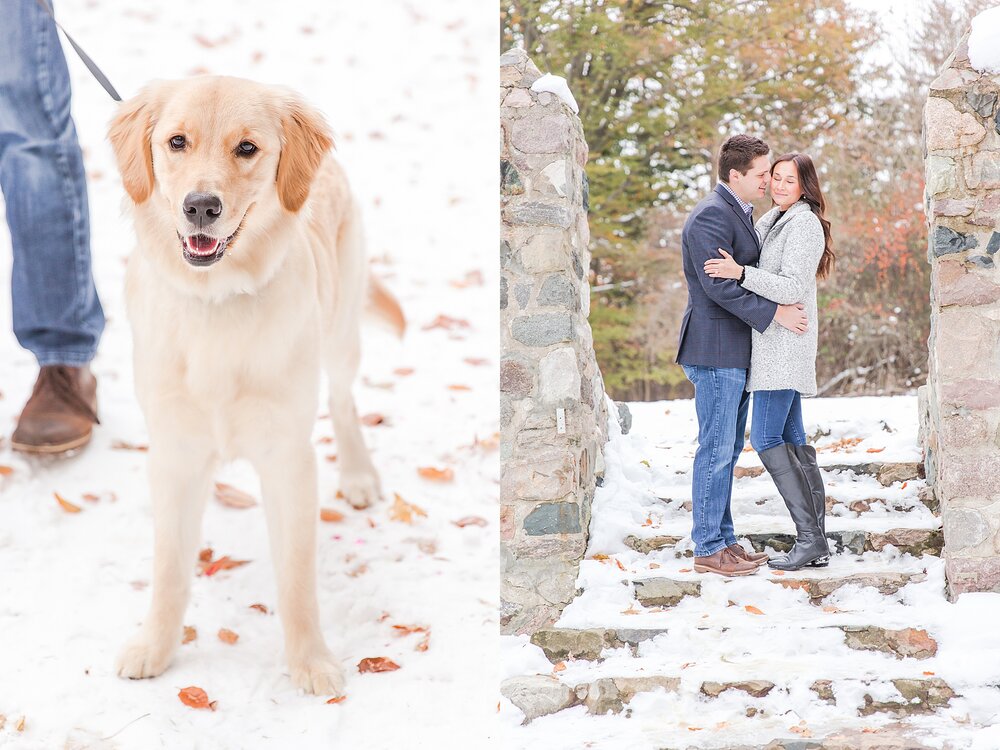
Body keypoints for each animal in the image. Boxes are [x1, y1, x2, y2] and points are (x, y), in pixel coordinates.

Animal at [108, 78, 402, 700]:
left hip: (340, 335)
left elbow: (295, 577)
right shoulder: (174, 454)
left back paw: (358, 475)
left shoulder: (287, 457)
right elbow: (169, 567)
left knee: (343, 399)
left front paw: (310, 661)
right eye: (177, 142)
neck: (217, 300)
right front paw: (156, 647)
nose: (201, 206)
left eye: (247, 148)